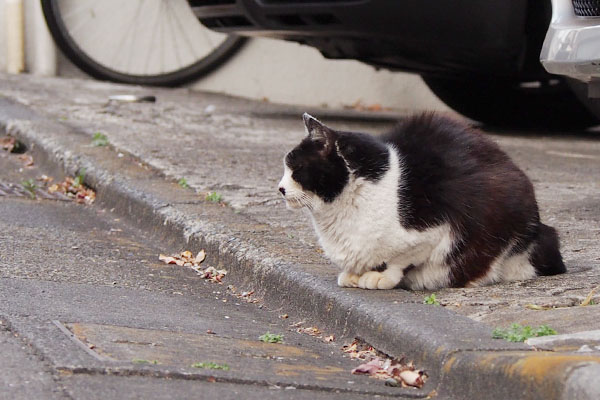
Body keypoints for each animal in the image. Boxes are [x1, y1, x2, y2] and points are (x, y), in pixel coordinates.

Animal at [278, 112, 568, 290]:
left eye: (297, 169)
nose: (280, 188)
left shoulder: (438, 229)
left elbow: (402, 260)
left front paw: (381, 276)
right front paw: (356, 274)